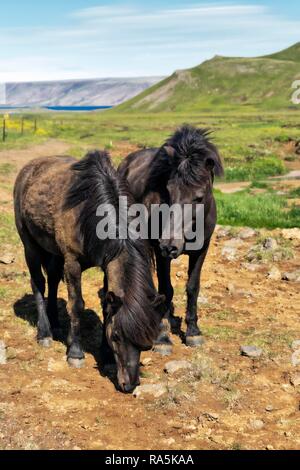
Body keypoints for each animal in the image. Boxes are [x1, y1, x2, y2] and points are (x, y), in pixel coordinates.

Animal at [13, 151, 164, 392]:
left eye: (147, 343)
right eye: (117, 336)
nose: (129, 385)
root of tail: (29, 168)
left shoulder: (106, 264)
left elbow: (106, 306)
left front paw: (107, 357)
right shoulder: (72, 262)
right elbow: (77, 305)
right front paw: (75, 353)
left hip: (54, 252)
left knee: (53, 281)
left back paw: (56, 325)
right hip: (31, 246)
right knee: (38, 284)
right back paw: (44, 333)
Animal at [118, 125, 224, 352]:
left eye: (199, 197)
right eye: (168, 192)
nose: (170, 245)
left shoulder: (202, 249)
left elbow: (193, 287)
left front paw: (193, 332)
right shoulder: (160, 253)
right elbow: (166, 288)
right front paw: (163, 336)